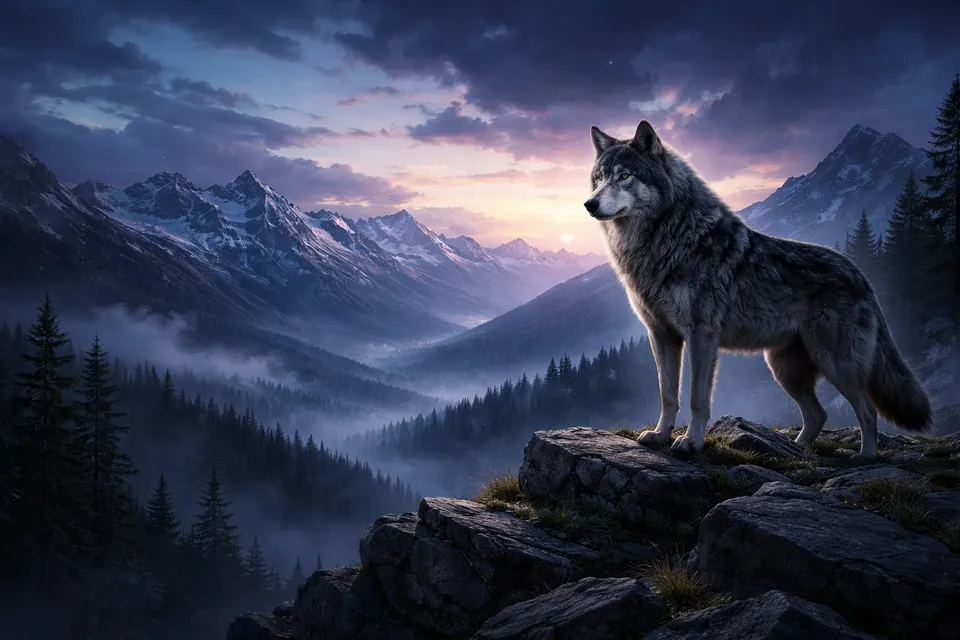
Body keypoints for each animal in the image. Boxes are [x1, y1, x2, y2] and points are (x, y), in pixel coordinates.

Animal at [583, 121, 933, 461]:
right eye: (599, 178)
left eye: (625, 176)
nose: (589, 204)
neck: (666, 238)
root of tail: (862, 275)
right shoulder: (661, 335)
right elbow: (667, 394)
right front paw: (659, 435)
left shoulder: (701, 336)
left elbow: (697, 398)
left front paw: (691, 441)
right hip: (783, 368)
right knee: (818, 415)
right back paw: (795, 449)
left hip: (836, 364)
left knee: (868, 411)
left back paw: (864, 457)